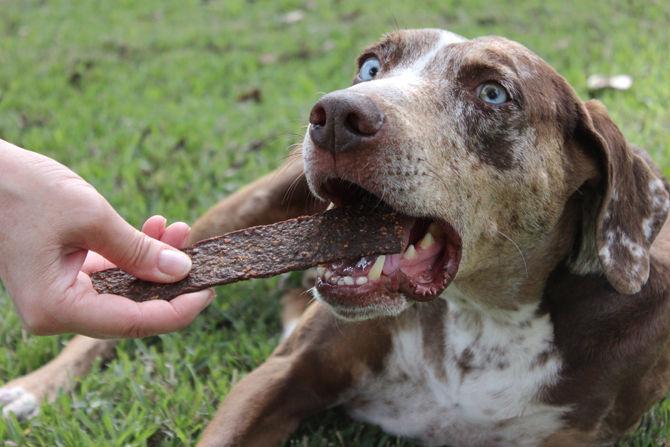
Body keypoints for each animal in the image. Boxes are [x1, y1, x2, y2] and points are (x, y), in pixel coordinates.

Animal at [1, 28, 670, 447]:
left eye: (493, 93)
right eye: (371, 66)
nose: (338, 115)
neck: (477, 321)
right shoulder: (277, 378)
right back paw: (33, 389)